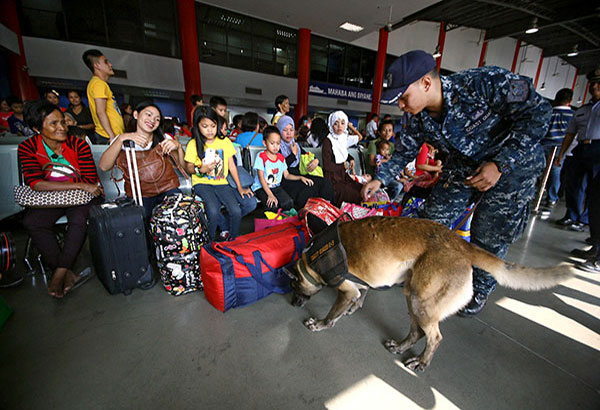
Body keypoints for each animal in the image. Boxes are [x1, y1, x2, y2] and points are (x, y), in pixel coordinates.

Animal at [288, 218, 576, 372]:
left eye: (294, 289)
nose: (292, 303)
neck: (312, 259)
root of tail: (462, 244)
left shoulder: (345, 290)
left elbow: (333, 313)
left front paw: (321, 323)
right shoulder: (360, 286)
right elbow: (360, 297)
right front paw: (353, 309)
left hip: (422, 302)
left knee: (435, 337)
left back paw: (421, 363)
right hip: (413, 296)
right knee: (417, 332)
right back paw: (401, 346)